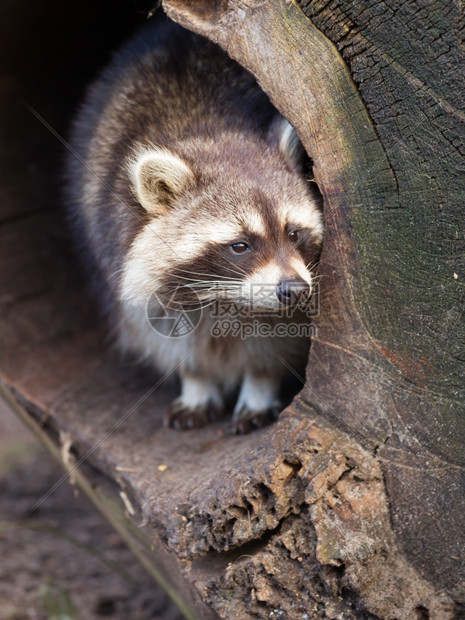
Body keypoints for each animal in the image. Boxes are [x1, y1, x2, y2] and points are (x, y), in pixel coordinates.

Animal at [66, 14, 322, 432]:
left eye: (294, 233)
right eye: (240, 245)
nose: (294, 289)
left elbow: (278, 339)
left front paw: (260, 382)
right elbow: (162, 334)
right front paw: (196, 380)